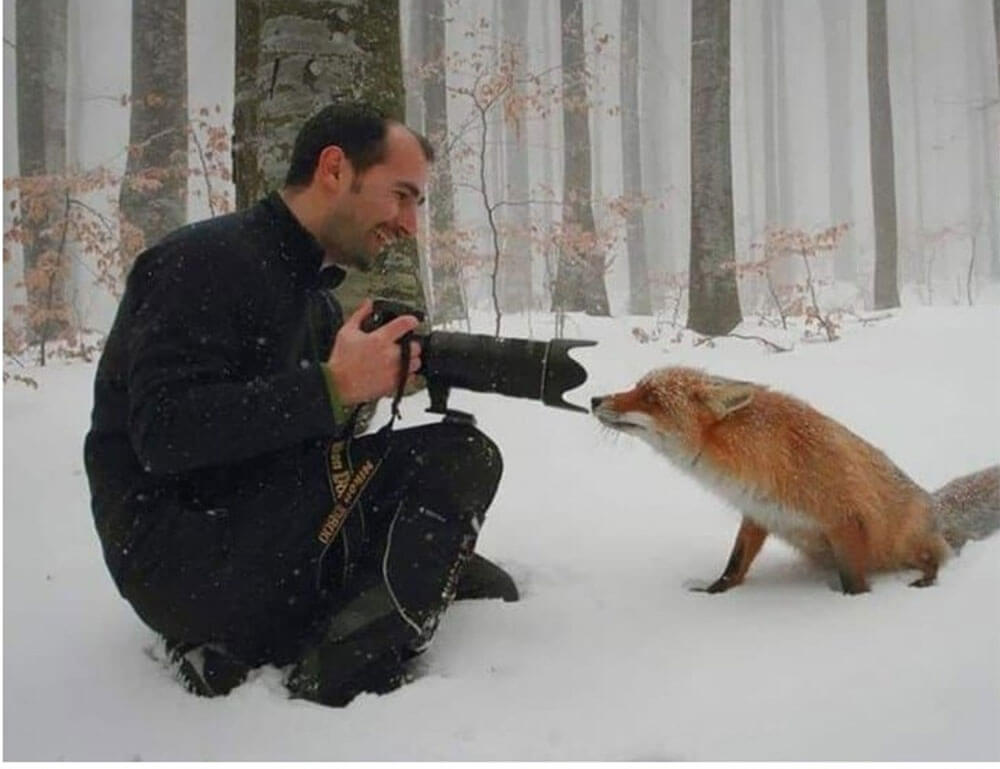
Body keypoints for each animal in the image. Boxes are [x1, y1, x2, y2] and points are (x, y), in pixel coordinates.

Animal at [592, 368, 1000, 592]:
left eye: (650, 397)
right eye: (636, 386)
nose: (595, 399)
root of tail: (934, 503)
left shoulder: (846, 521)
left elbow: (854, 583)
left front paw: (858, 608)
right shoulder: (758, 514)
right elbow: (734, 565)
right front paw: (713, 593)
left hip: (904, 543)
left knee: (940, 558)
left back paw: (927, 580)